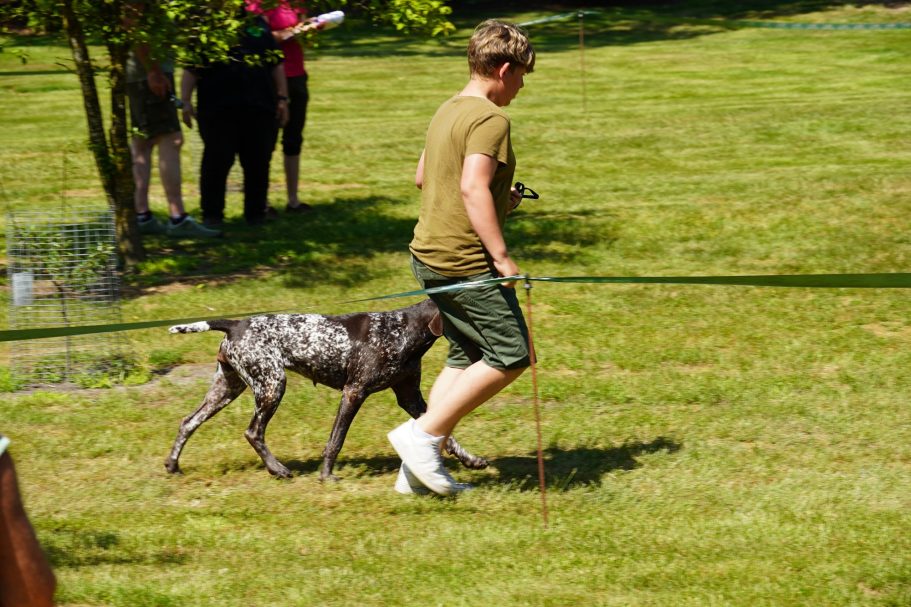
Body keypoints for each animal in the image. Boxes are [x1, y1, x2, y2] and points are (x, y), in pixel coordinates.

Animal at [164, 299, 487, 480]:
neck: (402, 330)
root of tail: (235, 324)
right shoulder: (354, 392)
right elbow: (336, 440)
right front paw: (327, 475)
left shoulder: (411, 398)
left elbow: (445, 433)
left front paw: (470, 459)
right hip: (272, 385)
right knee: (253, 432)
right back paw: (277, 470)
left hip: (227, 388)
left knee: (188, 422)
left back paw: (172, 464)